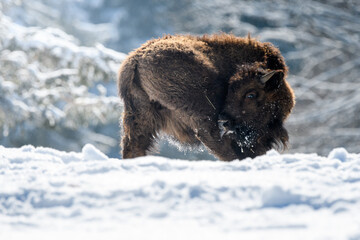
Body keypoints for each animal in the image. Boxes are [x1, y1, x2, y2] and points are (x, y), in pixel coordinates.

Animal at [118, 33, 296, 161]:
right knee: (218, 144)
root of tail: (136, 61)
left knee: (134, 146)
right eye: (250, 94)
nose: (225, 120)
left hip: (139, 117)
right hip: (203, 115)